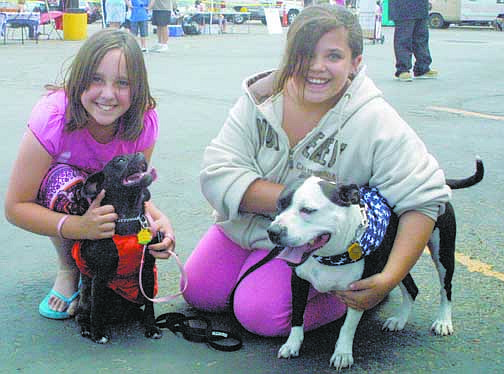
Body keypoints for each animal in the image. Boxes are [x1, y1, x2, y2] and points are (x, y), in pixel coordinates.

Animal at [73, 153, 161, 344]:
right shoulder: (99, 277)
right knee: (83, 315)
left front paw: (151, 327)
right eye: (120, 160)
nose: (140, 154)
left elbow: (150, 306)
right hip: (85, 298)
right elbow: (97, 310)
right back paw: (87, 328)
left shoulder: (147, 272)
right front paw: (98, 333)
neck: (129, 217)